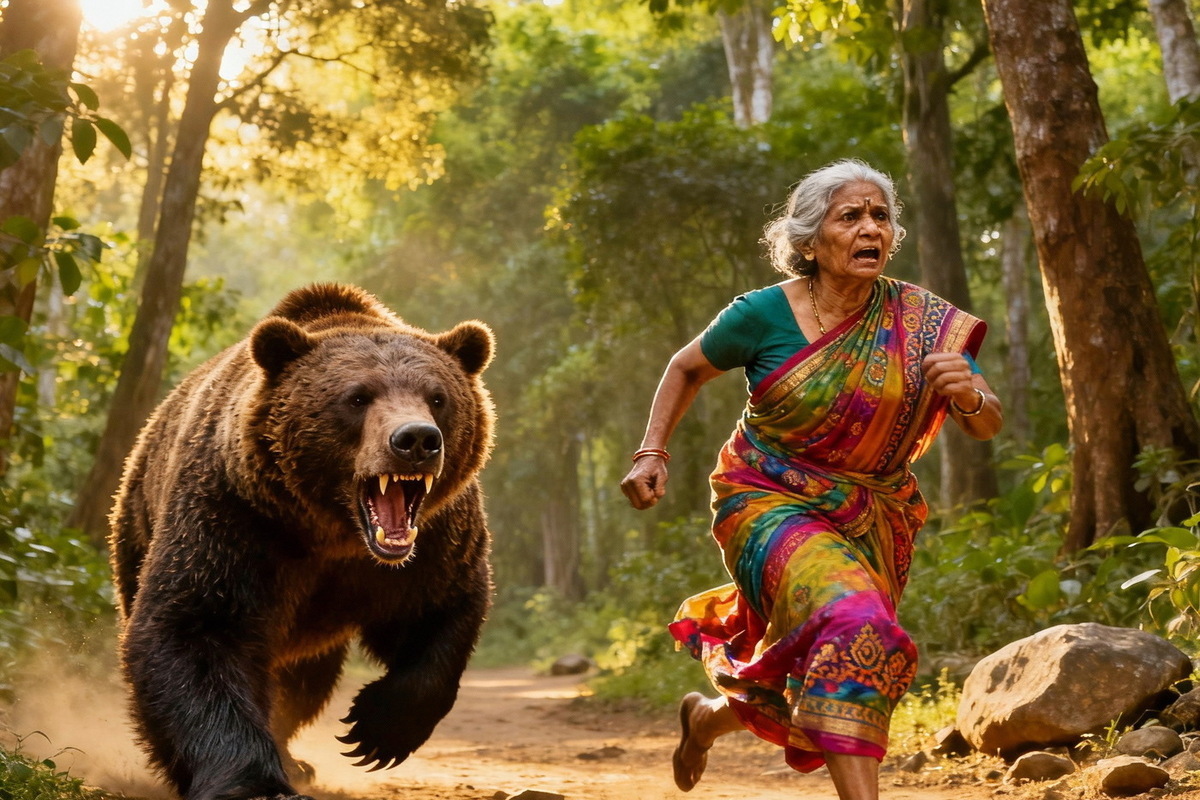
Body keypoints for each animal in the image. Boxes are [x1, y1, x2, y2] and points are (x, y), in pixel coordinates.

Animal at [108, 283, 495, 800]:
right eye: (358, 397)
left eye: (438, 397)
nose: (416, 440)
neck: (334, 532)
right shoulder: (235, 518)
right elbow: (194, 629)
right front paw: (256, 783)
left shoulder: (431, 544)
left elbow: (441, 611)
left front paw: (374, 731)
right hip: (137, 525)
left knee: (304, 682)